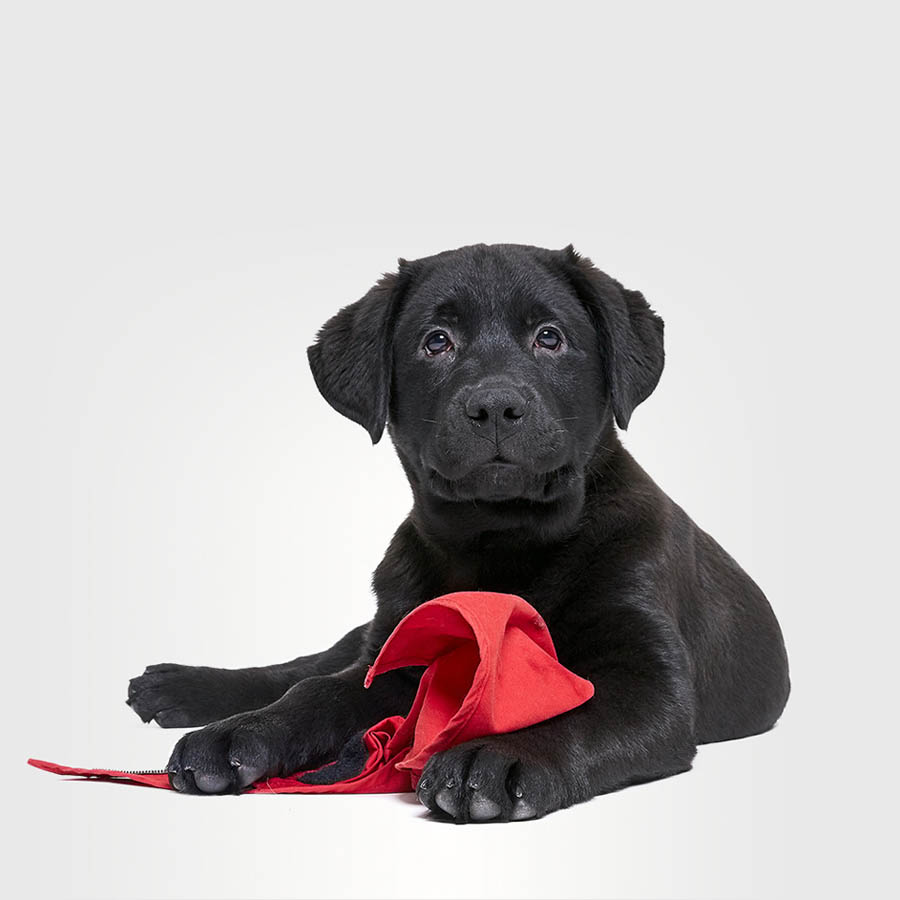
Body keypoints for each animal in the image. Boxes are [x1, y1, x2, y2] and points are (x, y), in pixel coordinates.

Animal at [126, 243, 788, 820]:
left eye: (550, 337)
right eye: (436, 342)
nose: (494, 406)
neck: (499, 542)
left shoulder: (648, 679)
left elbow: (574, 707)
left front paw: (496, 756)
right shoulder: (398, 662)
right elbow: (316, 694)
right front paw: (241, 734)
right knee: (307, 668)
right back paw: (181, 690)